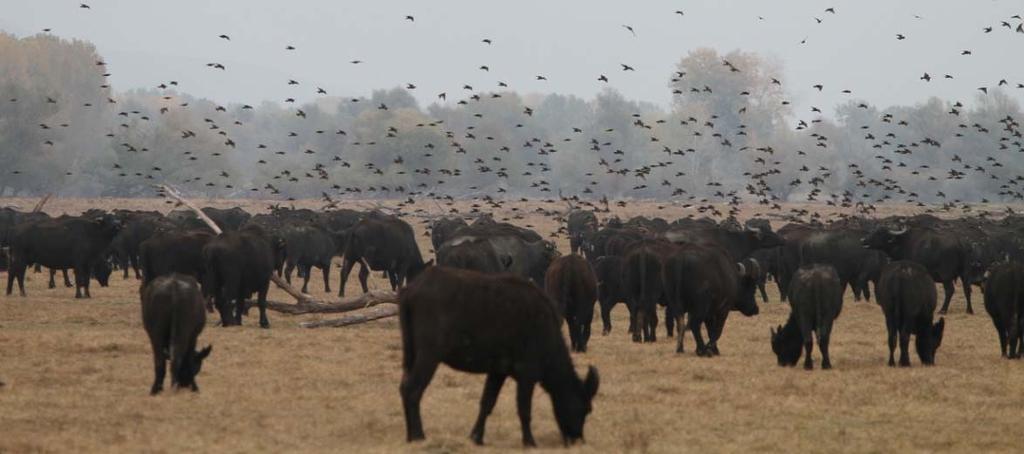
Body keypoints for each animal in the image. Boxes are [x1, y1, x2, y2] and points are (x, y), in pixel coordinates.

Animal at [395, 266, 598, 448]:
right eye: (585, 408)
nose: (578, 440)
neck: (546, 335)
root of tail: (410, 290)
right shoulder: (527, 374)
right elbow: (524, 409)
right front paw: (529, 441)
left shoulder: (498, 372)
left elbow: (487, 403)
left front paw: (476, 437)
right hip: (428, 355)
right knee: (413, 390)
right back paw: (418, 435)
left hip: (412, 355)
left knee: (404, 387)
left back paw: (409, 435)